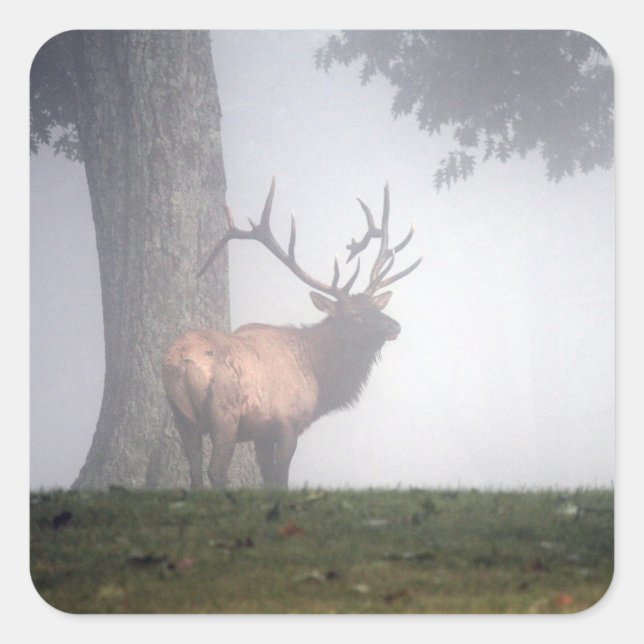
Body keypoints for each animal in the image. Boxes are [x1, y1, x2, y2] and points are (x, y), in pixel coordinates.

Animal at [161, 179, 422, 489]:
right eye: (354, 315)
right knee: (215, 471)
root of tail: (179, 362)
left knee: (194, 473)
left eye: (374, 307)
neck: (319, 378)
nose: (394, 326)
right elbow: (279, 482)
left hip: (183, 419)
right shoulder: (286, 424)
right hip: (224, 415)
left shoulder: (261, 433)